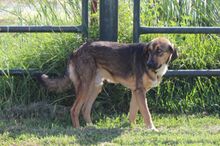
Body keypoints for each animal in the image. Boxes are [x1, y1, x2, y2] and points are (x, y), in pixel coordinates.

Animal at [38, 37, 179, 131]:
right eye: (149, 52)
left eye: (159, 51)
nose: (148, 65)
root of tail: (77, 51)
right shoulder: (140, 92)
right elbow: (146, 113)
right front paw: (152, 129)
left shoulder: (136, 92)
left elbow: (133, 114)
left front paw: (131, 128)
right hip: (85, 87)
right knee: (74, 109)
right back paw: (78, 130)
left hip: (96, 87)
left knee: (85, 109)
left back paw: (91, 127)